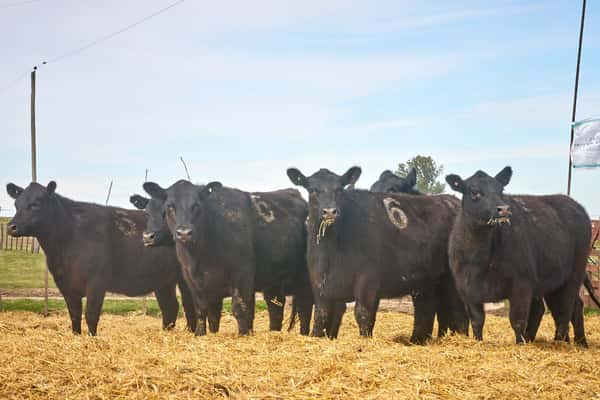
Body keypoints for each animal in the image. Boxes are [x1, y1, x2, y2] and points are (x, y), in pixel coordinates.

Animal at [5, 181, 197, 334]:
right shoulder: (65, 284)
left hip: (185, 277)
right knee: (170, 307)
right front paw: (76, 337)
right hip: (163, 279)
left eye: (35, 204)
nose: (11, 226)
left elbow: (91, 314)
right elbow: (74, 315)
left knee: (189, 306)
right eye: (16, 203)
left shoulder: (97, 282)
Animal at [142, 180, 312, 334]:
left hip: (304, 279)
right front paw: (201, 334)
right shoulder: (194, 281)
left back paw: (304, 334)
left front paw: (244, 334)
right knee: (276, 309)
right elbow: (204, 312)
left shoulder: (242, 275)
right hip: (273, 281)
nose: (184, 233)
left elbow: (240, 310)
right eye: (170, 206)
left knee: (305, 308)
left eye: (197, 205)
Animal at [446, 167, 592, 346]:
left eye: (501, 190)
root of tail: (573, 204)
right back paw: (579, 342)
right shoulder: (467, 289)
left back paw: (560, 341)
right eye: (475, 192)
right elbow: (477, 320)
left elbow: (517, 320)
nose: (503, 209)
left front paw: (520, 343)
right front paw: (478, 341)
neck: (480, 259)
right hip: (552, 281)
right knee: (568, 307)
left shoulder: (521, 285)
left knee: (565, 309)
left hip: (574, 275)